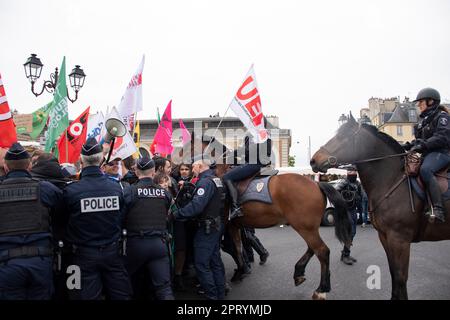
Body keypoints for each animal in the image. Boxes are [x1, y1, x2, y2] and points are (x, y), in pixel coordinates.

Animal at [181, 136, 354, 300]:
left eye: (185, 148)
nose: (182, 169)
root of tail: (316, 184)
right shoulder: (234, 225)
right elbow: (238, 247)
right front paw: (241, 271)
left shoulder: (225, 224)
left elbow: (233, 248)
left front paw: (239, 272)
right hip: (308, 227)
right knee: (313, 248)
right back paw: (299, 273)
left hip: (304, 227)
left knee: (322, 251)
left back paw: (321, 289)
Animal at [312, 115, 450, 300]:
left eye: (342, 137)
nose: (314, 160)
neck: (392, 180)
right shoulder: (385, 237)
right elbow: (393, 274)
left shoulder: (400, 239)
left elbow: (400, 277)